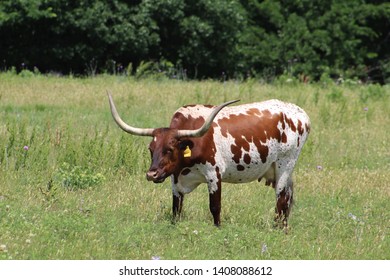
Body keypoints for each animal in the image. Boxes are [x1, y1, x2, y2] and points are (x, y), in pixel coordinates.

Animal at [107, 93, 310, 229]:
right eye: (151, 149)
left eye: (169, 149)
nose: (152, 174)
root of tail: (300, 113)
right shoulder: (174, 178)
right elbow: (176, 208)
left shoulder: (214, 174)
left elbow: (215, 206)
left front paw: (218, 229)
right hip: (276, 170)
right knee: (288, 197)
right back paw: (283, 228)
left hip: (285, 164)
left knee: (281, 199)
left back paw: (276, 229)